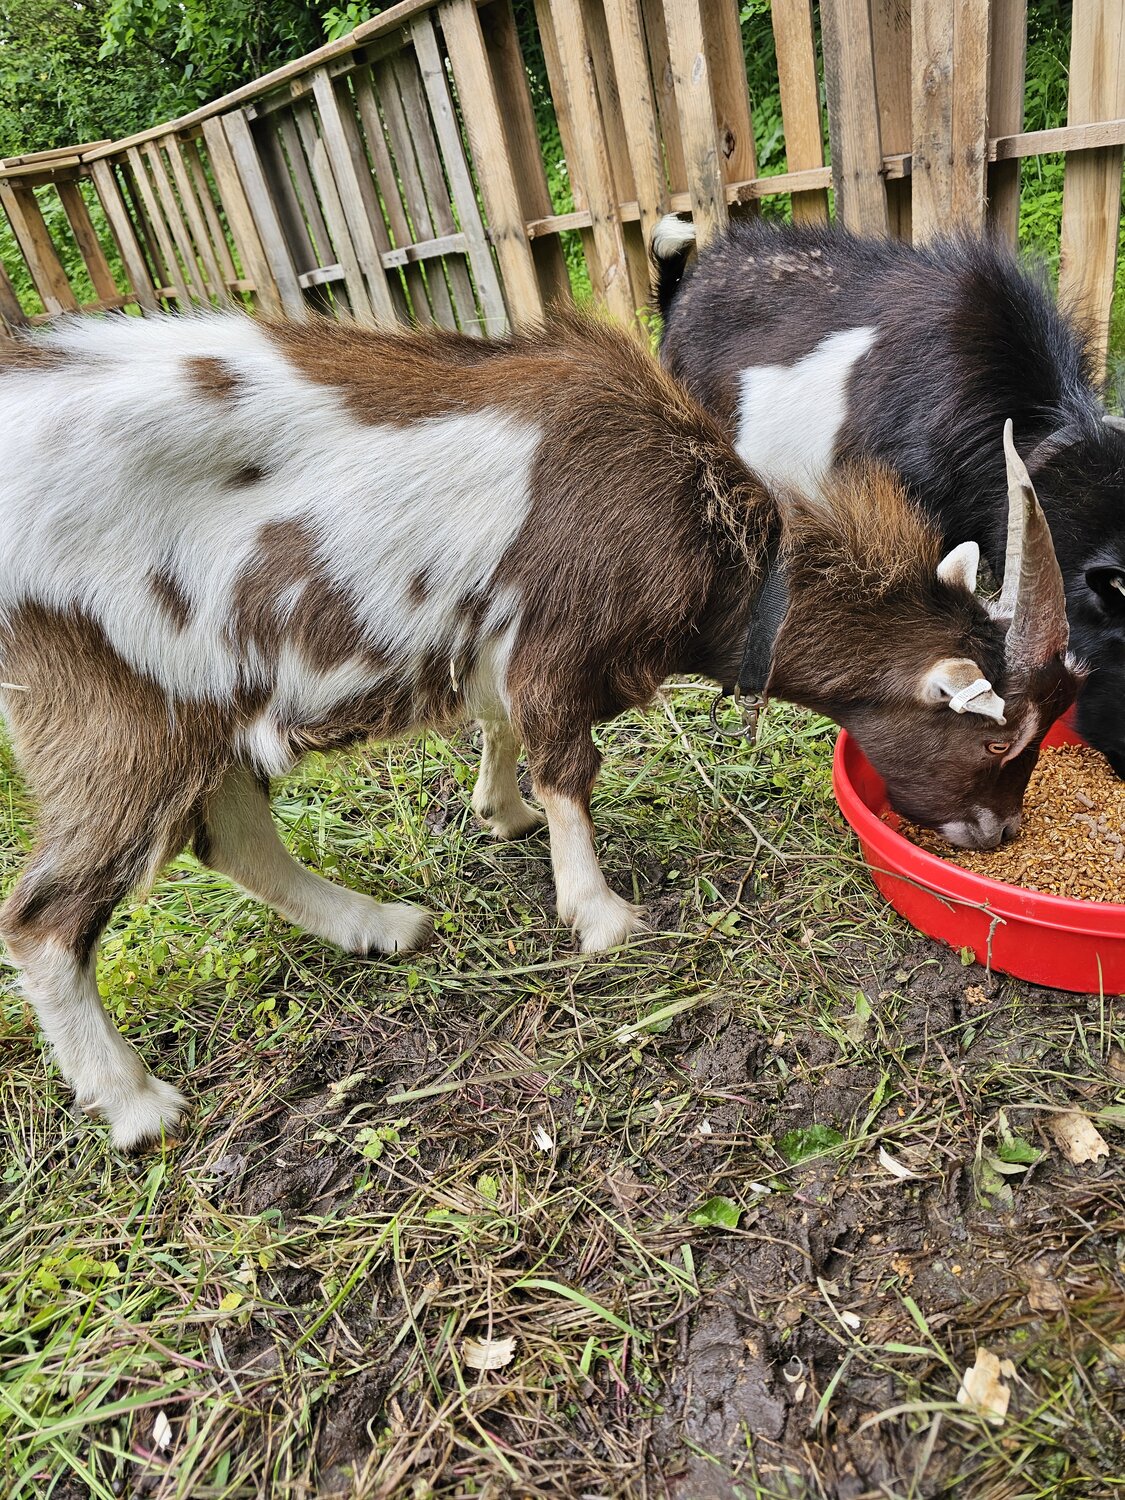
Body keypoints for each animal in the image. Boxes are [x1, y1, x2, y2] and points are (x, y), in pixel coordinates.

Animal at [0, 309, 1077, 1148]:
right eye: (999, 740)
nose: (1004, 837)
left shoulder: (506, 641)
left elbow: (504, 727)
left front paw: (499, 812)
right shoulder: (562, 636)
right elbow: (570, 765)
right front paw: (600, 915)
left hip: (200, 700)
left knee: (229, 836)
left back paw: (379, 926)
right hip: (114, 701)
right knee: (47, 914)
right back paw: (137, 1104)